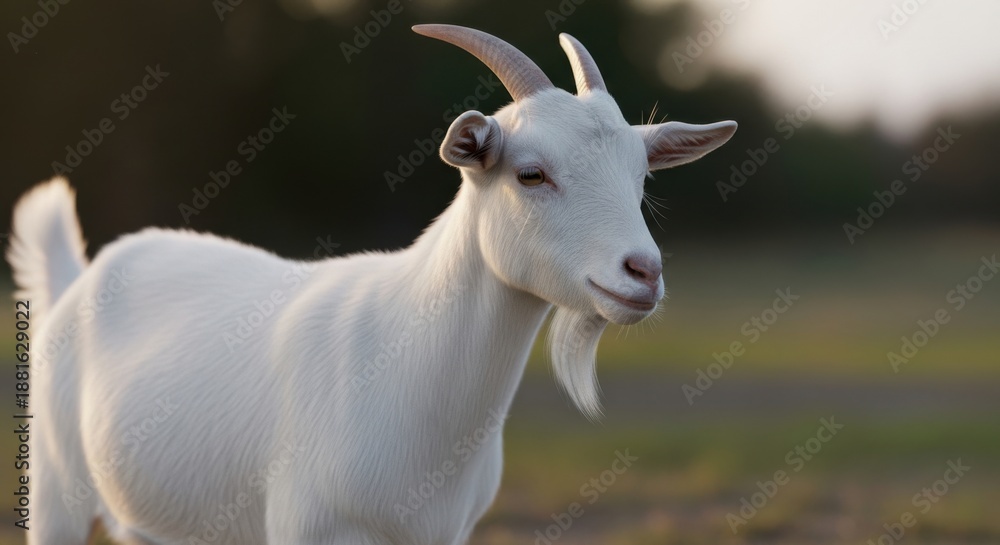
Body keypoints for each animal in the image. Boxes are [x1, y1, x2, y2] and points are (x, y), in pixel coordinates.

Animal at [8, 24, 735, 545]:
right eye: (530, 173)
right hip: (56, 493)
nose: (643, 272)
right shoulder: (310, 530)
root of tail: (79, 277)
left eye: (641, 176)